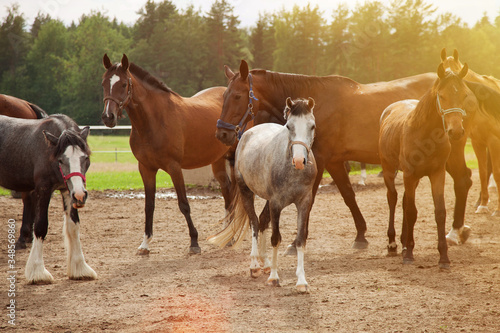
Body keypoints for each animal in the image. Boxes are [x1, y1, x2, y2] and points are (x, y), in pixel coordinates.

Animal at [0, 114, 95, 282]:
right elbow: (40, 226)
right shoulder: (43, 190)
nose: (80, 195)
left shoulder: (67, 191)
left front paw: (80, 268)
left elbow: (73, 226)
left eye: (85, 158)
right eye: (61, 160)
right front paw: (37, 271)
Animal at [102, 53, 234, 253]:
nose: (108, 117)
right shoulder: (146, 169)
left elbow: (184, 204)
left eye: (124, 84)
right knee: (227, 190)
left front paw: (194, 242)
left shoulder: (174, 167)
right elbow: (149, 206)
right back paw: (228, 235)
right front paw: (145, 243)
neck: (154, 121)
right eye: (103, 83)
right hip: (217, 160)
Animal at [210, 97, 316, 292]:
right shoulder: (276, 204)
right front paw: (274, 277)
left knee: (262, 221)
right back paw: (254, 265)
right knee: (254, 222)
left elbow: (300, 240)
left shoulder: (304, 203)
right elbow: (275, 238)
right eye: (289, 126)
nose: (299, 161)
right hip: (246, 192)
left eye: (311, 126)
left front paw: (301, 281)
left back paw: (265, 262)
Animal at [217, 59, 436, 249]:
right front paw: (360, 235)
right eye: (224, 96)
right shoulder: (334, 162)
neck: (316, 107)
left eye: (237, 96)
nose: (222, 133)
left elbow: (310, 199)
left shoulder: (318, 160)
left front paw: (296, 241)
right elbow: (348, 195)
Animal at [378, 63, 476, 268]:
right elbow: (411, 211)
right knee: (393, 198)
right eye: (442, 95)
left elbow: (439, 212)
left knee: (404, 201)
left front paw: (444, 257)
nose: (456, 131)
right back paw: (393, 244)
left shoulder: (437, 174)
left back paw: (404, 243)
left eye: (464, 94)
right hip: (390, 170)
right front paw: (408, 254)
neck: (424, 134)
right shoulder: (409, 174)